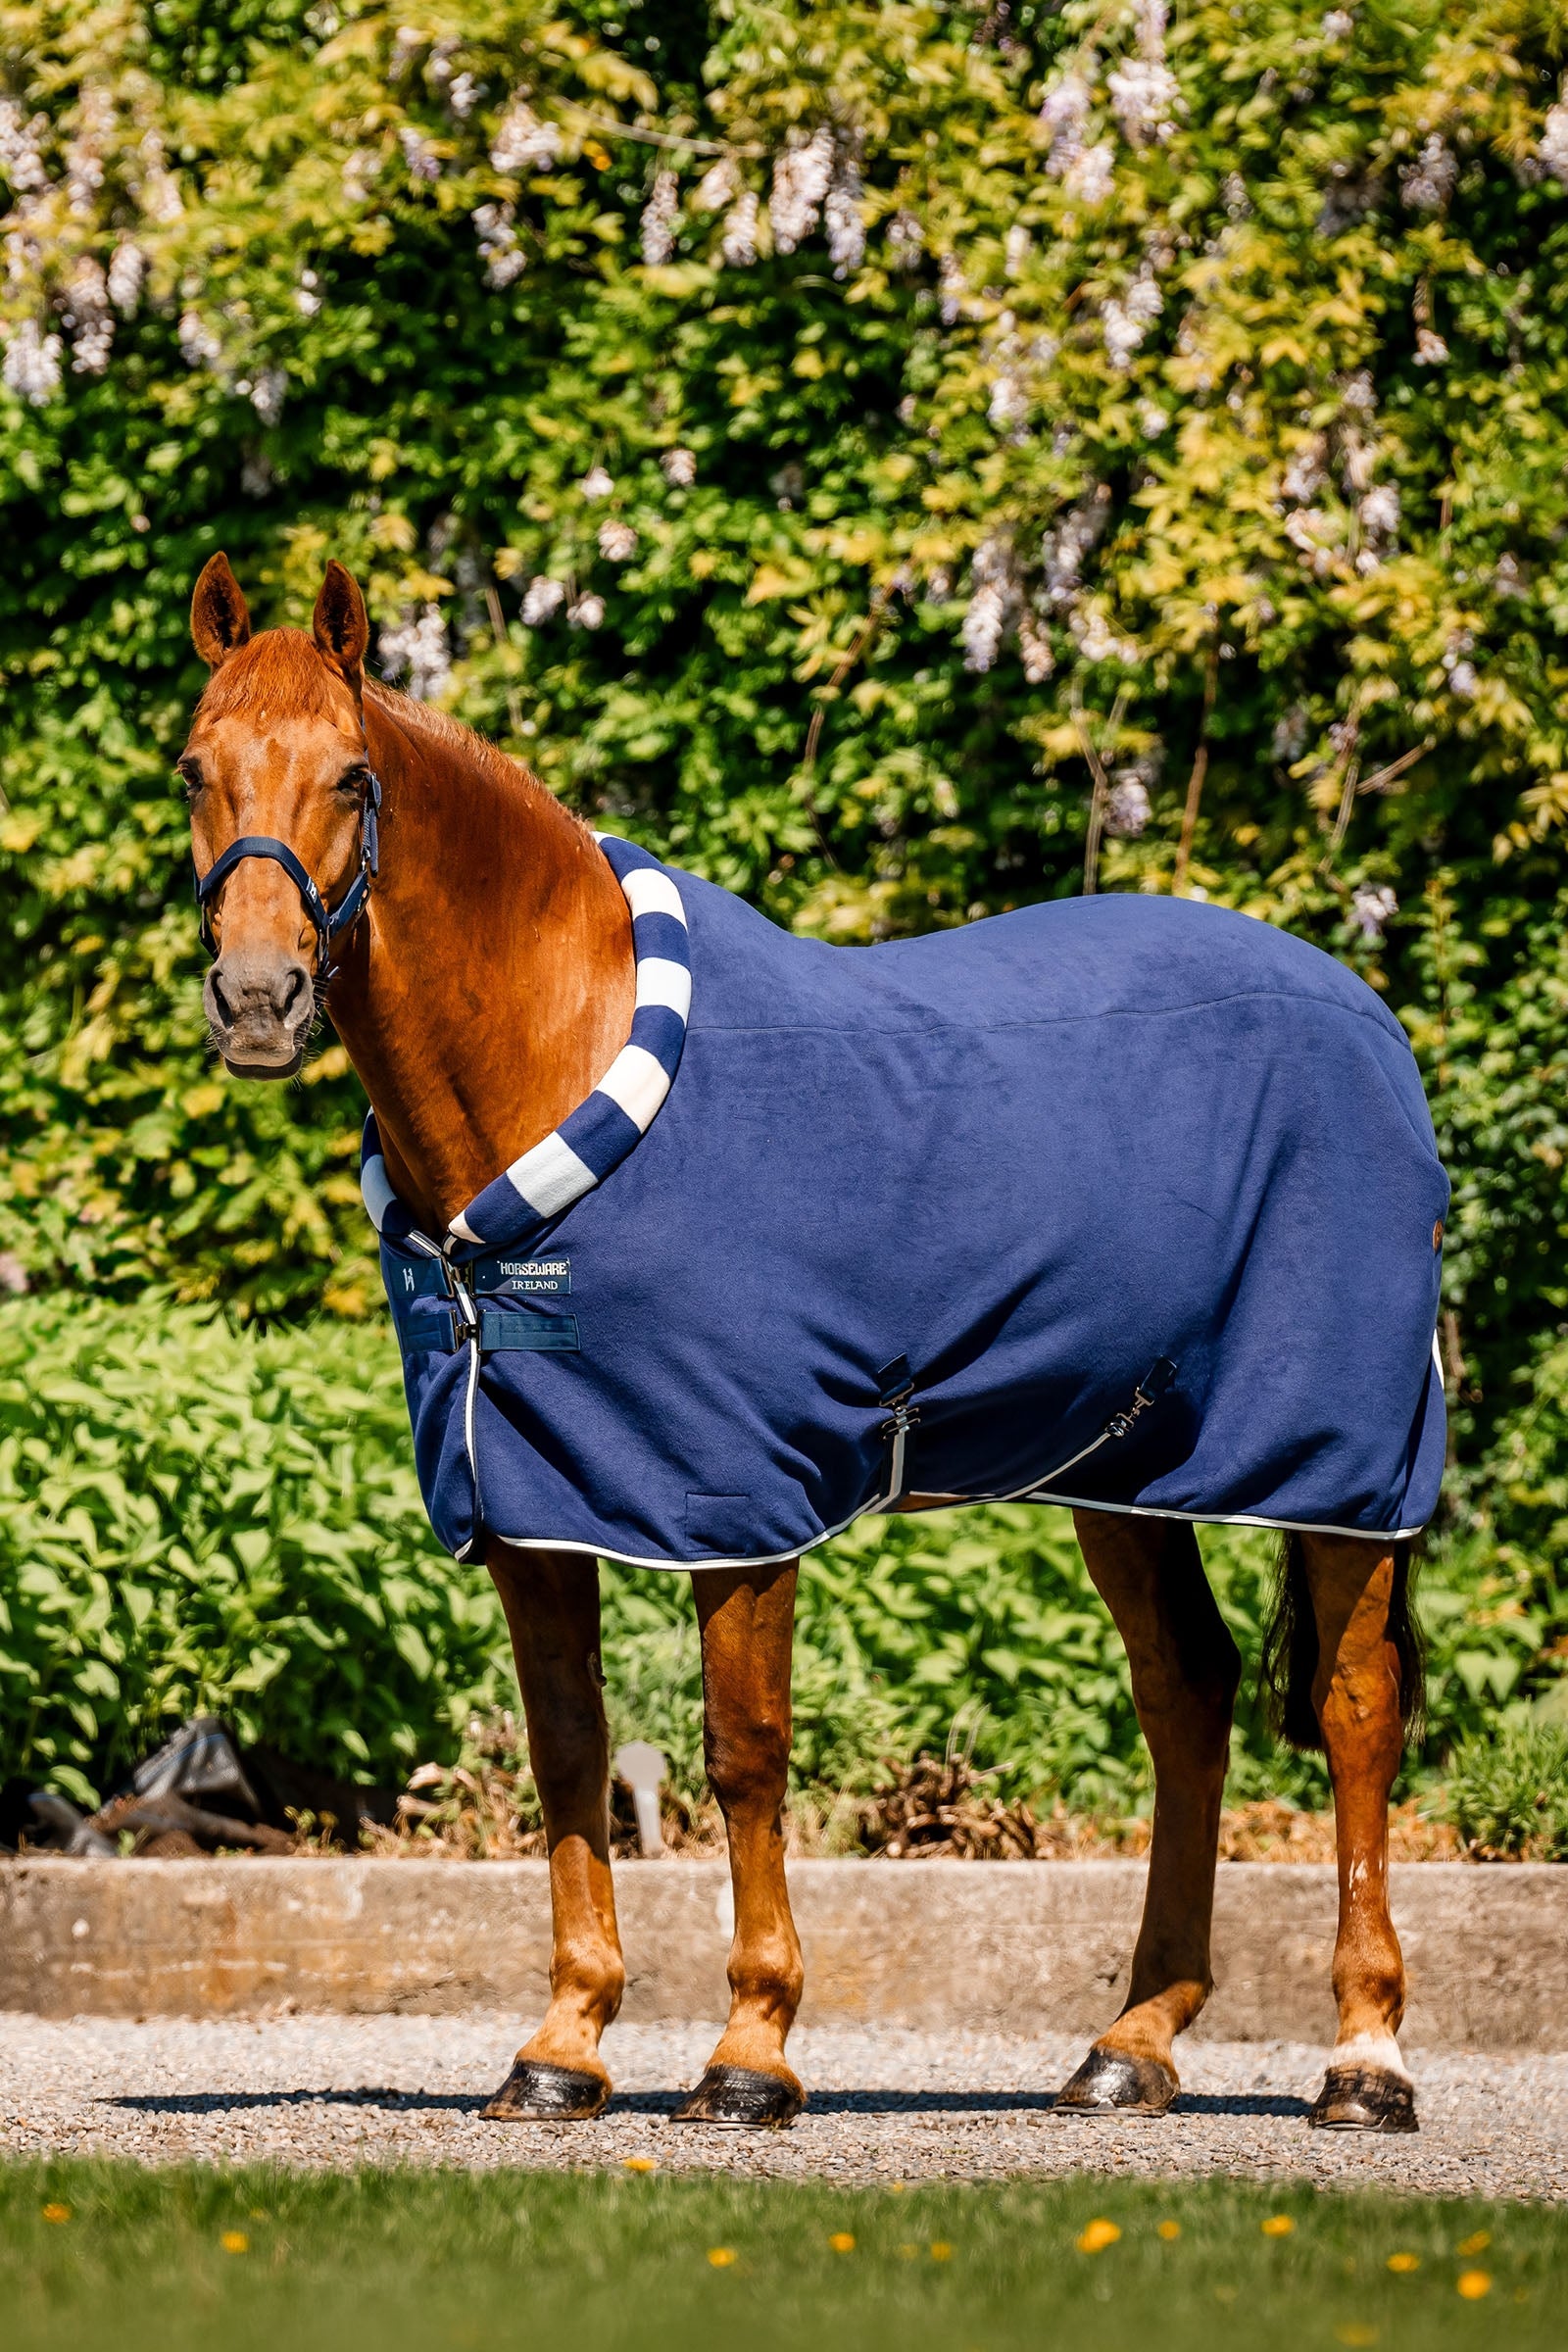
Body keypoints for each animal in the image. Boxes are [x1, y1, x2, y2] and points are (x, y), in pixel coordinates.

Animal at [181, 551, 1445, 2134]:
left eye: (352, 775)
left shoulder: (739, 1502)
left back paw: (1367, 2058)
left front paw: (750, 2052)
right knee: (1187, 1698)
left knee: (1355, 1710)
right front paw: (563, 2046)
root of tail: (1361, 1015)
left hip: (1339, 1467)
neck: (574, 1066)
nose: (257, 1001)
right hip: (1127, 1471)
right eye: (194, 769)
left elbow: (744, 1756)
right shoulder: (534, 1503)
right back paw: (1131, 2046)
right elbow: (569, 1750)